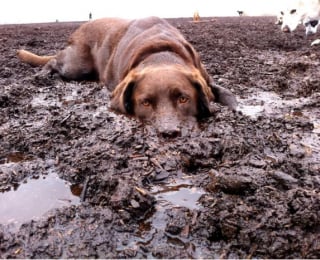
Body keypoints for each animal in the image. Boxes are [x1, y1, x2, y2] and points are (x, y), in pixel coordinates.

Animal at [18, 16, 238, 138]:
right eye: (145, 103)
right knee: (54, 61)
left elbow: (226, 93)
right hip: (76, 66)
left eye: (184, 99)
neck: (160, 53)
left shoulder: (205, 78)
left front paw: (236, 108)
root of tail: (81, 26)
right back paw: (42, 75)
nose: (169, 133)